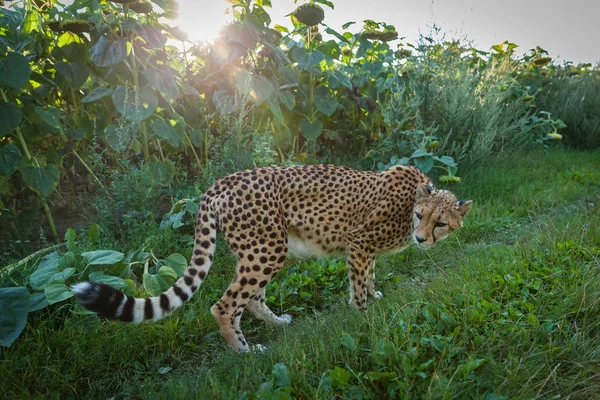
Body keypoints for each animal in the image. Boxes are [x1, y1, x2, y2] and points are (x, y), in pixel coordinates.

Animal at [71, 164, 474, 352]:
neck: (410, 204)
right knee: (224, 305)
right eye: (421, 217)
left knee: (249, 299)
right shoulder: (358, 243)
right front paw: (366, 314)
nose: (420, 239)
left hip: (263, 250)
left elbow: (370, 277)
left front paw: (374, 297)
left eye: (440, 223)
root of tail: (222, 182)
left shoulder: (364, 250)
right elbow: (359, 285)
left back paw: (277, 323)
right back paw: (245, 351)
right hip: (267, 250)